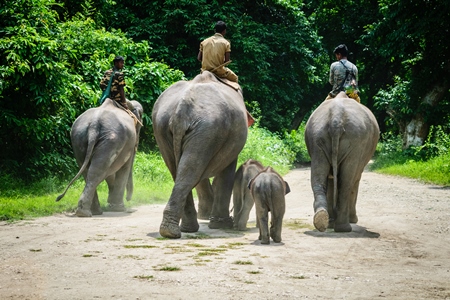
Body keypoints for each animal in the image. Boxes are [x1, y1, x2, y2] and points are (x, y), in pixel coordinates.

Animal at [153, 70, 248, 239]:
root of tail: (181, 111)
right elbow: (227, 169)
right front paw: (221, 225)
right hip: (208, 127)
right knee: (190, 171)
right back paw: (177, 231)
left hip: (165, 128)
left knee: (182, 171)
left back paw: (175, 231)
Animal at [306, 92, 380, 233]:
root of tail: (336, 118)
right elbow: (355, 179)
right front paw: (352, 220)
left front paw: (330, 223)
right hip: (356, 141)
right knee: (347, 182)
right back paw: (344, 228)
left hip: (317, 136)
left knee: (318, 178)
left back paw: (322, 219)